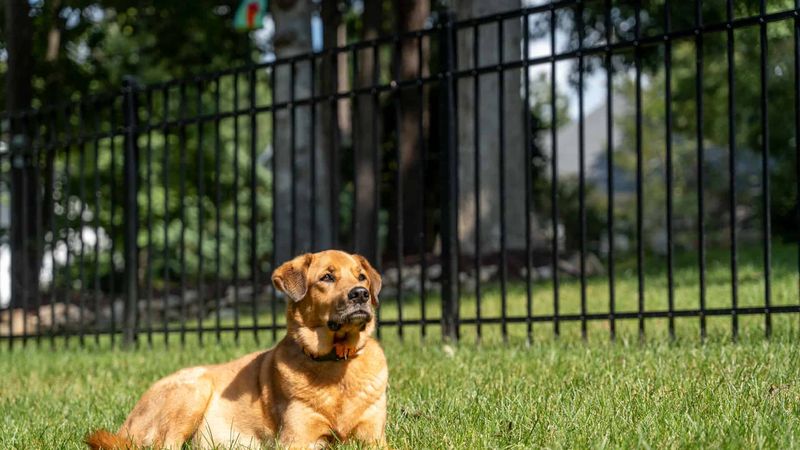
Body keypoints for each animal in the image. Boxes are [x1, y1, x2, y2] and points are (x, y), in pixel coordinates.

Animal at [87, 251, 388, 448]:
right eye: (327, 277)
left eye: (361, 276)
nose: (361, 293)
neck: (335, 362)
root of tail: (126, 426)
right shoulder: (297, 439)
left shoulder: (375, 438)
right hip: (195, 389)